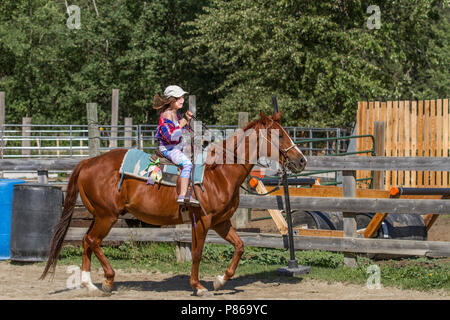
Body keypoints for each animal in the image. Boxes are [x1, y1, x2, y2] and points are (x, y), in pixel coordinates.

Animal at [39, 111, 306, 296]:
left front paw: (220, 280)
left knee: (86, 240)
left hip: (98, 215)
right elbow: (197, 253)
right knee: (93, 241)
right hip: (107, 216)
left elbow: (240, 246)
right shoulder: (203, 220)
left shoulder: (221, 221)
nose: (301, 160)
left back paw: (89, 283)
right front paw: (198, 286)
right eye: (279, 134)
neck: (218, 172)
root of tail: (88, 162)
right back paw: (107, 280)